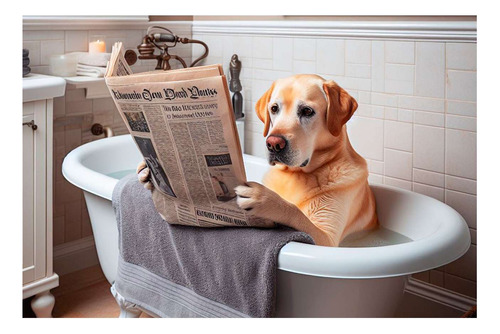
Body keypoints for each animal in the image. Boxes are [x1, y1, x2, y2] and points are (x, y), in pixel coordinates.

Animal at [137, 75, 376, 248]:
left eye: (307, 111)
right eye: (274, 108)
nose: (273, 143)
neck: (296, 174)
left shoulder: (327, 239)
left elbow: (295, 212)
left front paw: (266, 199)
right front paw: (146, 171)